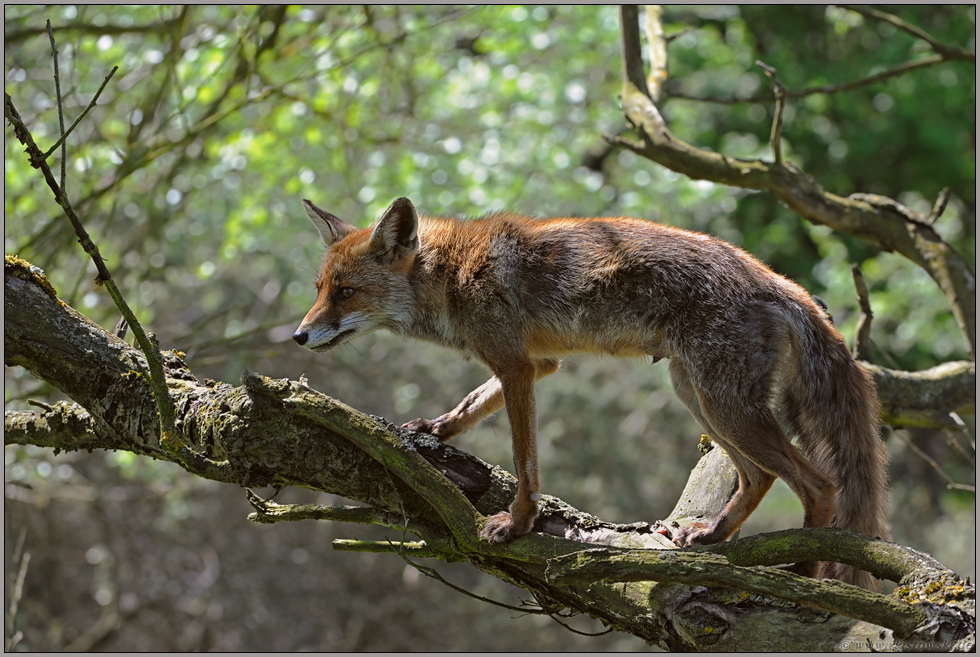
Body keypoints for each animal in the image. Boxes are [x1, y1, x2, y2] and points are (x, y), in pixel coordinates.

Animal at [290, 195, 888, 588]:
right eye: (319, 289)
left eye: (346, 293)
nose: (297, 336)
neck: (453, 275)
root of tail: (782, 283)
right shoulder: (537, 362)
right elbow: (471, 404)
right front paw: (435, 429)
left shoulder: (515, 366)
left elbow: (525, 460)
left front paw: (518, 524)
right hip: (696, 395)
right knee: (760, 476)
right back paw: (714, 537)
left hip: (725, 407)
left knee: (819, 485)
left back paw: (807, 575)